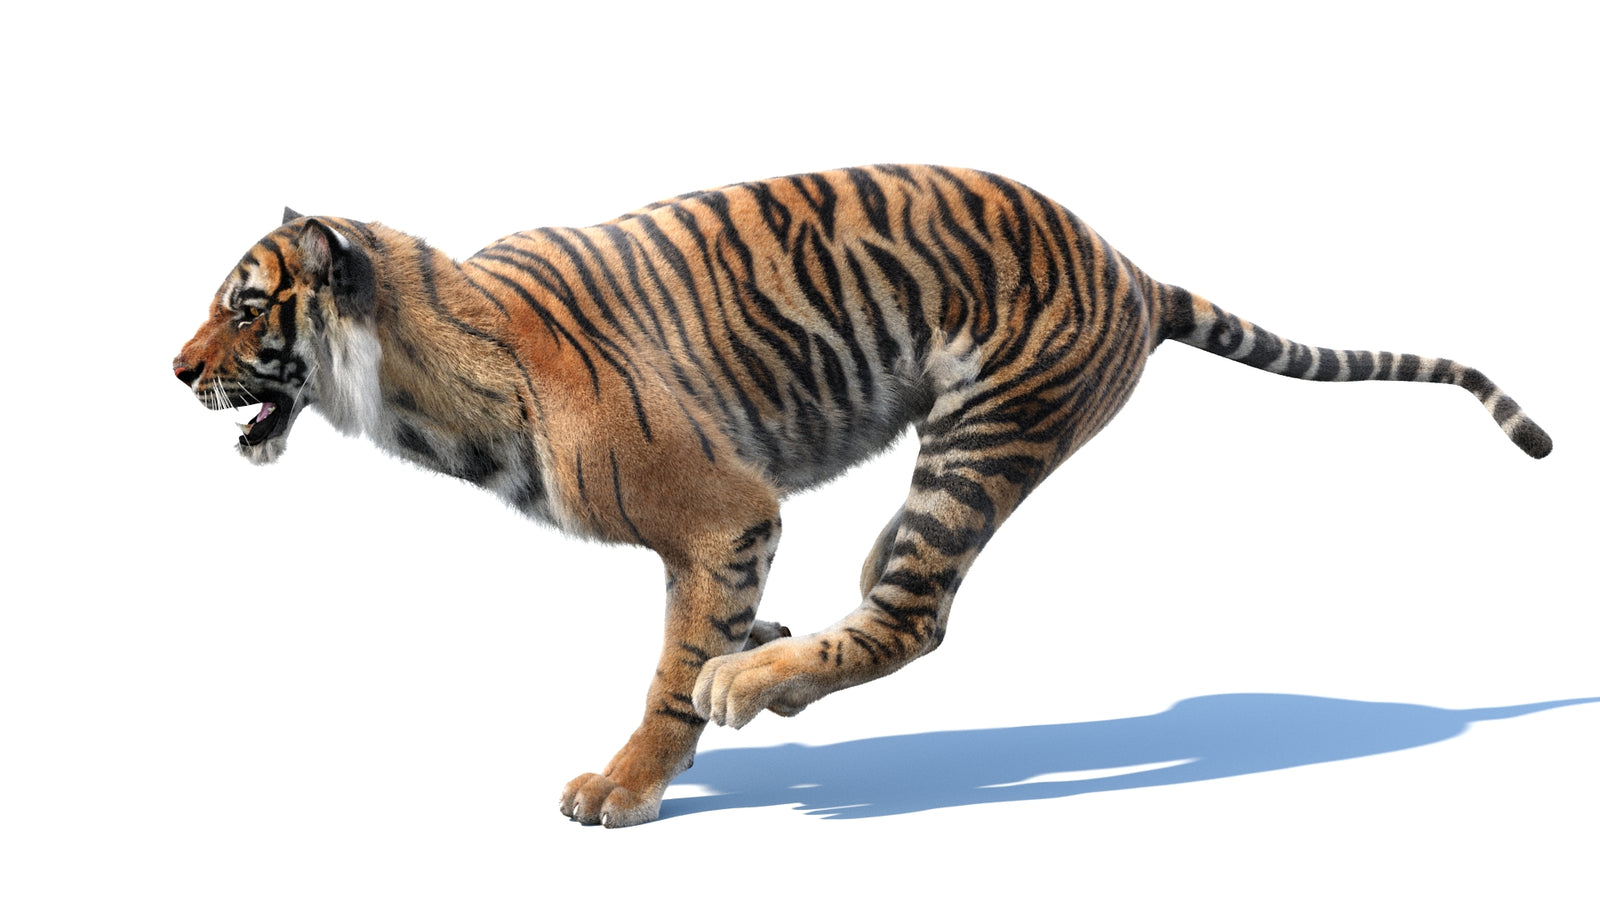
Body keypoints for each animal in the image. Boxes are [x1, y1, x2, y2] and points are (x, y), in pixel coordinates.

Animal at [173, 164, 1551, 827]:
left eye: (245, 307)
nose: (175, 370)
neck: (417, 379)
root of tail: (1134, 266)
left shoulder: (721, 510)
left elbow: (670, 670)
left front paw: (628, 783)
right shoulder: (732, 532)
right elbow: (708, 623)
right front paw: (735, 662)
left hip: (980, 439)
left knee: (914, 617)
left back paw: (757, 686)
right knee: (885, 601)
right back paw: (775, 668)